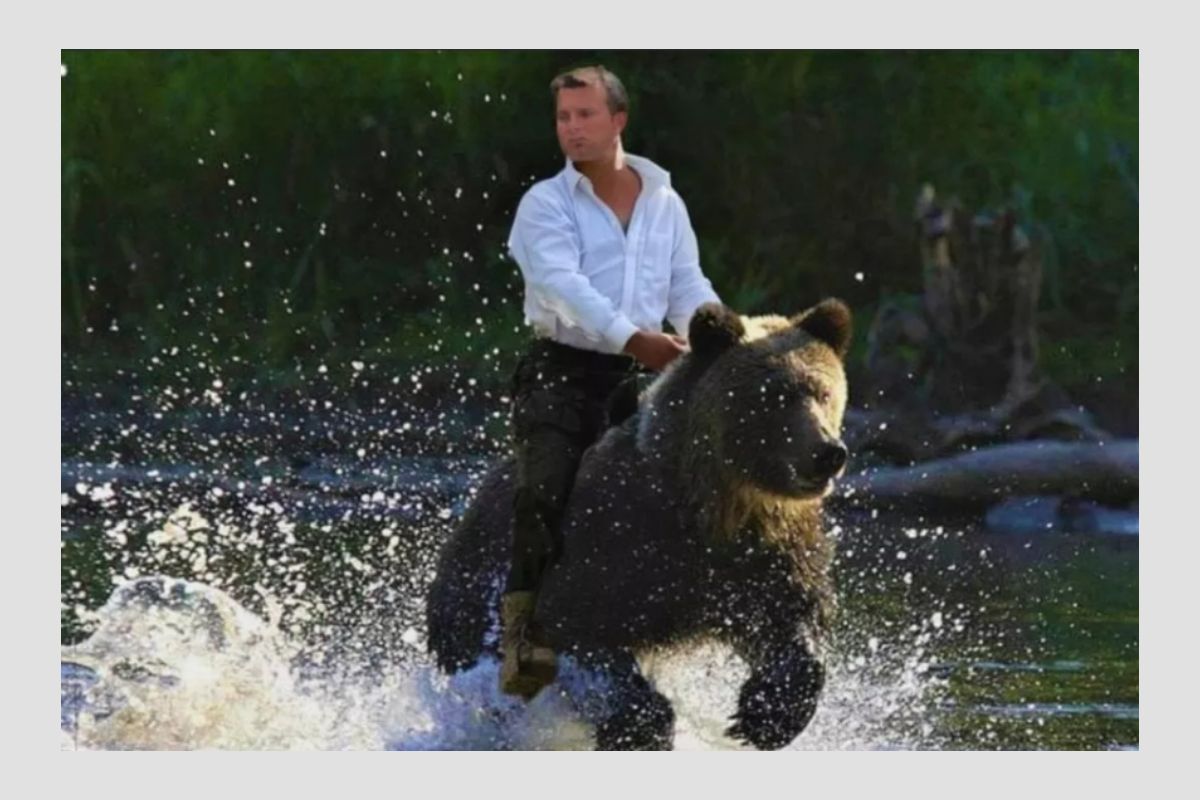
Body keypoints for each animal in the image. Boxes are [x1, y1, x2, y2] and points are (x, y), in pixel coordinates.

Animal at [425, 299, 852, 750]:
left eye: (824, 392)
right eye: (774, 396)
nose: (827, 452)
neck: (714, 505)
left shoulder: (762, 555)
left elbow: (790, 620)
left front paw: (763, 715)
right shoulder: (617, 542)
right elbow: (580, 630)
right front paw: (640, 727)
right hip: (474, 592)